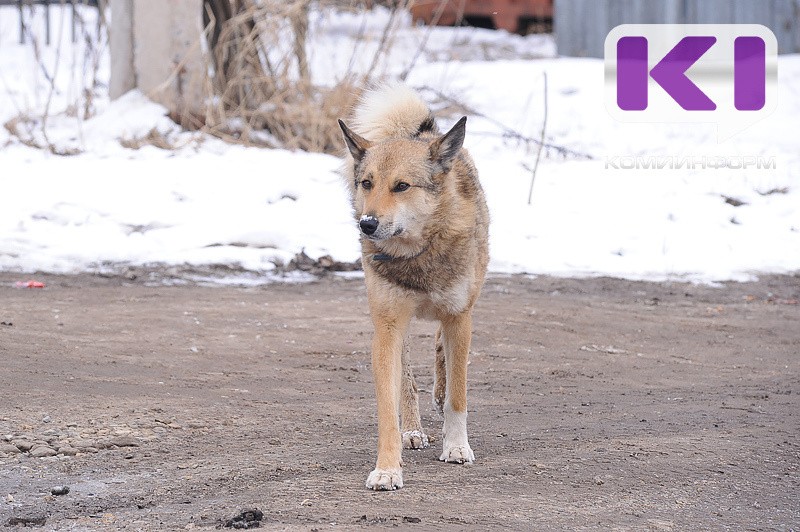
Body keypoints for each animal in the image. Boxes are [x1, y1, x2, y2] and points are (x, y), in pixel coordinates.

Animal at [336, 84, 488, 490]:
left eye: (401, 186)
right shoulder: (387, 327)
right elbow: (389, 409)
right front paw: (388, 468)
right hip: (399, 327)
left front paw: (456, 447)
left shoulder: (459, 318)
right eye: (367, 183)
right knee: (407, 382)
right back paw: (414, 430)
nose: (367, 224)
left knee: (441, 353)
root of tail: (418, 133)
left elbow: (458, 395)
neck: (417, 254)